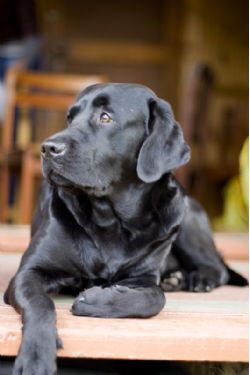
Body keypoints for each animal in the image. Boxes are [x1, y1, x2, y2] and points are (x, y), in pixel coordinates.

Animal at [3, 83, 248, 374]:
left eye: (105, 117)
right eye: (70, 118)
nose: (47, 148)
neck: (111, 219)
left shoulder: (143, 277)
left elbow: (154, 299)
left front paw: (93, 300)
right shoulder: (29, 272)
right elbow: (40, 303)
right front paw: (36, 354)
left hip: (184, 214)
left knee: (218, 267)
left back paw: (197, 279)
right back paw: (176, 278)